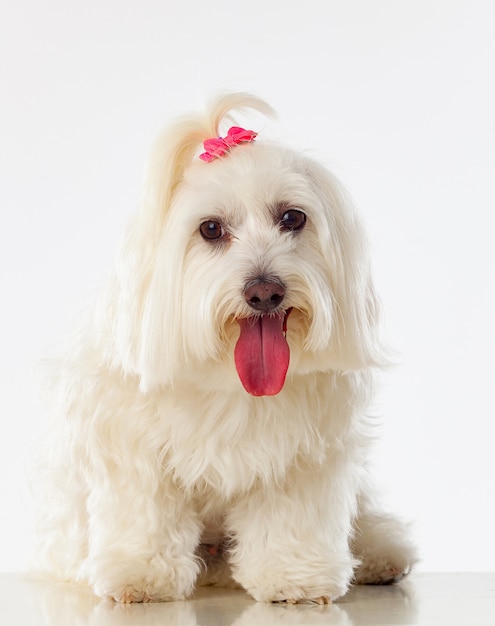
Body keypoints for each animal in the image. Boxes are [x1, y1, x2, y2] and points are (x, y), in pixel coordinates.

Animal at [36, 91, 416, 600]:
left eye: (292, 217)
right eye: (211, 229)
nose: (264, 292)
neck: (229, 379)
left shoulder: (299, 455)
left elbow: (291, 516)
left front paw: (294, 576)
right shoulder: (132, 449)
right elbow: (144, 512)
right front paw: (140, 574)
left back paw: (378, 556)